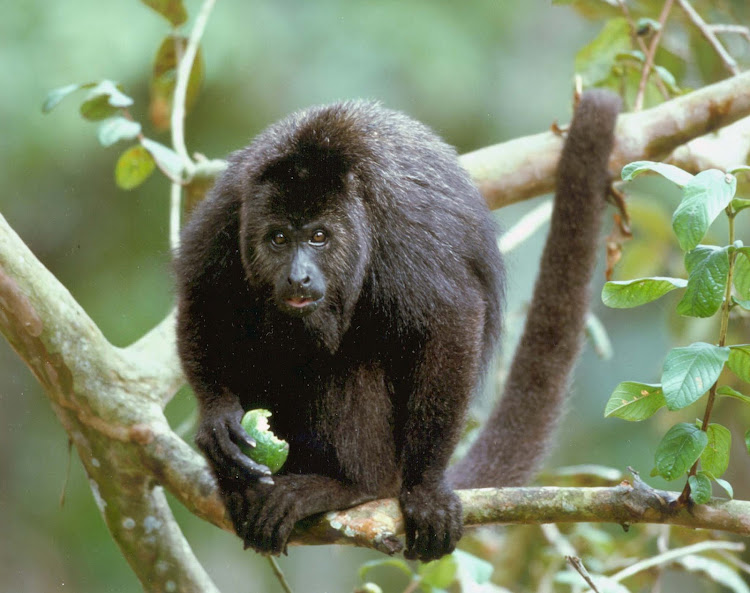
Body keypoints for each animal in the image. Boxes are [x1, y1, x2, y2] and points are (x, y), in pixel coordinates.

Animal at [175, 89, 624, 560]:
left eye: (319, 237)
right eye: (278, 238)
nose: (298, 277)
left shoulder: (405, 231)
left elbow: (452, 322)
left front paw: (425, 490)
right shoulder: (229, 210)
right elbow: (201, 295)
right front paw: (217, 420)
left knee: (349, 367)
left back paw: (349, 486)